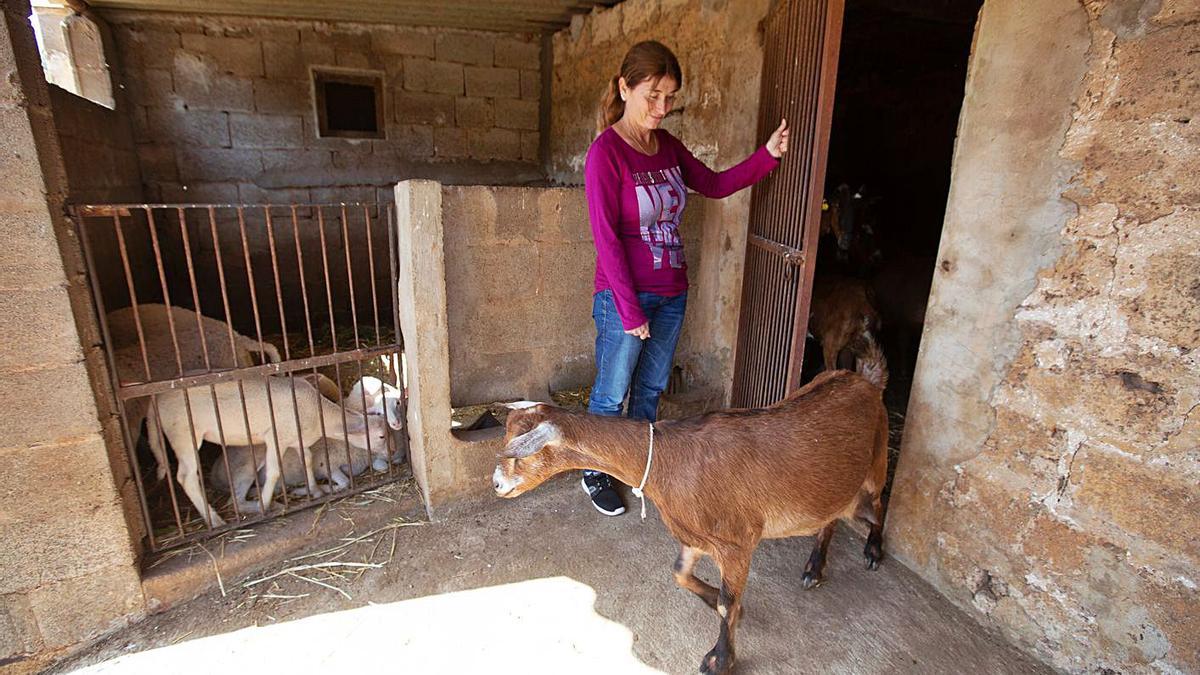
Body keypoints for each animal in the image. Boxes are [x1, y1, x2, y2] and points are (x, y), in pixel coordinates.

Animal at [489, 355, 892, 667]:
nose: (496, 485)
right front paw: (722, 604)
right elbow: (681, 574)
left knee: (878, 506)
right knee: (832, 517)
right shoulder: (694, 536)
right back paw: (814, 568)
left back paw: (873, 550)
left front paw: (720, 659)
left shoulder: (737, 542)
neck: (667, 461)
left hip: (877, 460)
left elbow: (728, 604)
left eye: (520, 453)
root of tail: (867, 380)